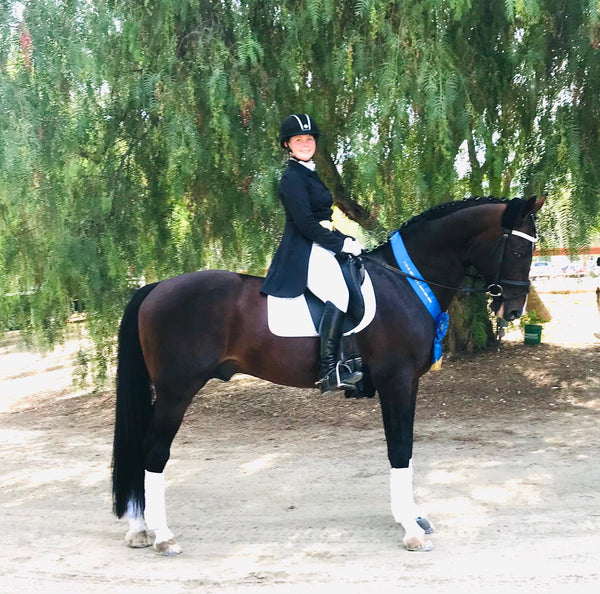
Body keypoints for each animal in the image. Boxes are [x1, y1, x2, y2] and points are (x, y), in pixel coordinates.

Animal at [111, 193, 544, 552]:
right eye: (519, 248)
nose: (514, 310)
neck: (407, 283)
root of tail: (154, 287)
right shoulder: (397, 382)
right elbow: (400, 448)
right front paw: (411, 529)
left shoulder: (404, 384)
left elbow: (403, 446)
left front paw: (411, 516)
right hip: (176, 391)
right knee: (153, 452)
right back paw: (163, 536)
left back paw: (139, 530)